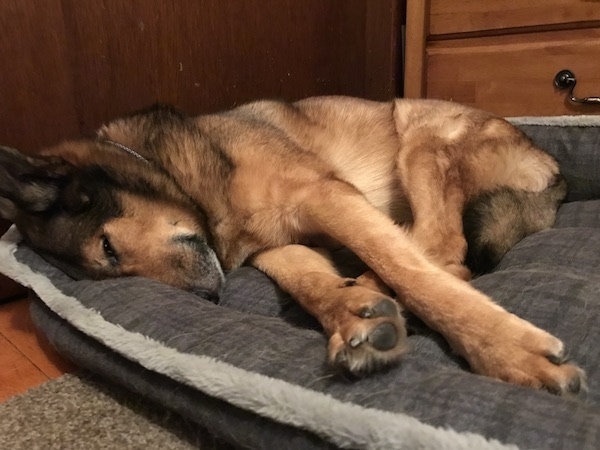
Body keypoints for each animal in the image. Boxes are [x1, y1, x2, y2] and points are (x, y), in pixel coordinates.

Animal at [0, 96, 584, 392]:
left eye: (108, 248)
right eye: (114, 265)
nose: (210, 298)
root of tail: (553, 173)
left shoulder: (324, 195)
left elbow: (407, 266)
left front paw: (506, 352)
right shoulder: (276, 247)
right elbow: (307, 283)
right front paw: (352, 313)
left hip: (419, 136)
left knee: (443, 246)